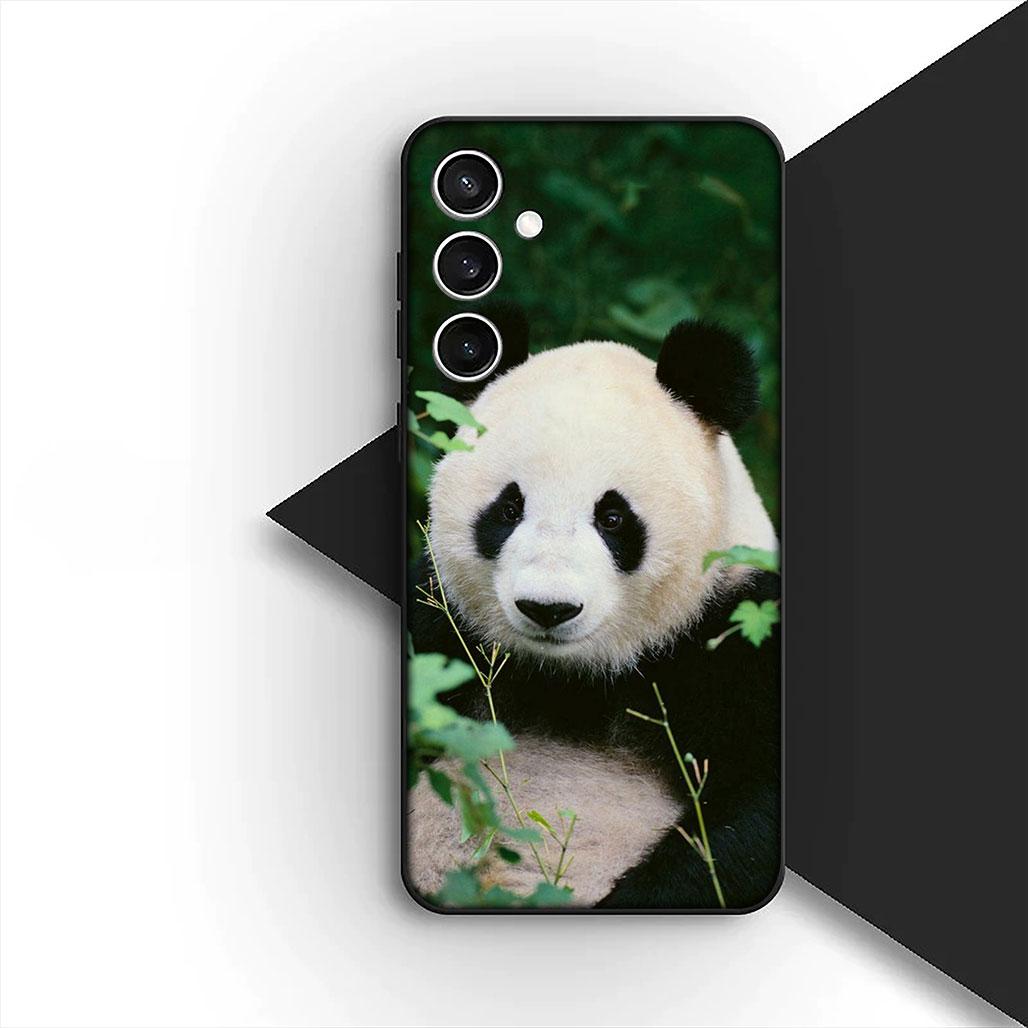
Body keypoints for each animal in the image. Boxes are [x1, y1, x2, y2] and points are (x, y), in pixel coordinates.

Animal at [407, 312, 781, 910]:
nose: (548, 609)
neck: (573, 678)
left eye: (612, 517)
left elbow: (744, 821)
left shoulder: (737, 636)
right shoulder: (441, 624)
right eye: (508, 508)